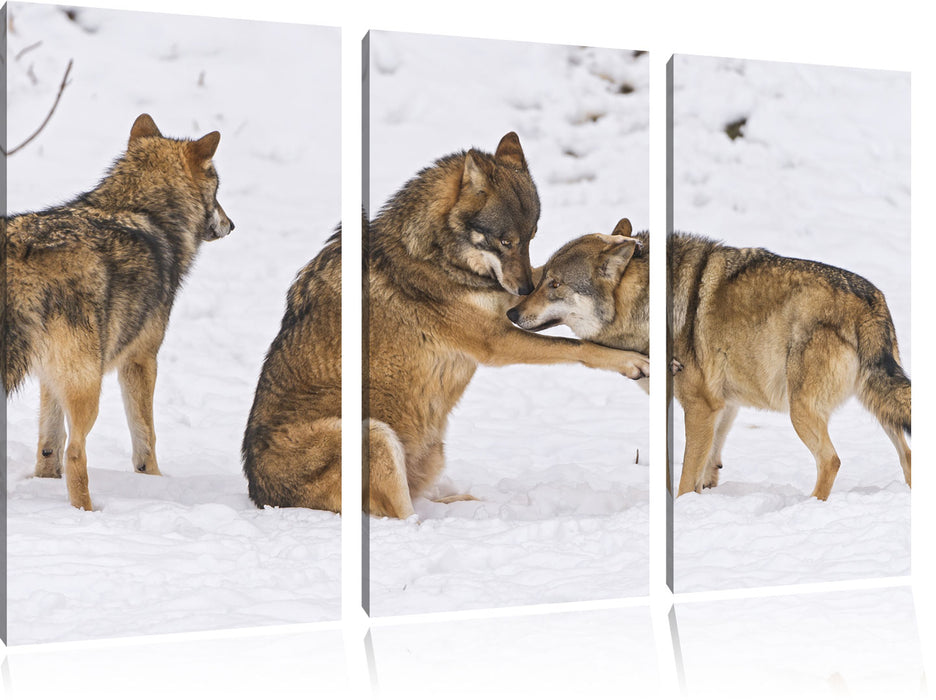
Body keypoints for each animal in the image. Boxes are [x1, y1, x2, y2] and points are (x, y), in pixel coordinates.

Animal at [1, 113, 234, 508]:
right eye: (217, 191)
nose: (232, 225)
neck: (139, 209)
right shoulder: (141, 359)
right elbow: (146, 437)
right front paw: (153, 482)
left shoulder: (49, 378)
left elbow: (48, 444)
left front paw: (44, 480)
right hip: (88, 385)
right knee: (76, 453)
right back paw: (88, 511)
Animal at [241, 133, 652, 520]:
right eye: (505, 241)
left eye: (531, 237)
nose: (522, 292)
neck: (437, 256)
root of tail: (262, 496)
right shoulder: (496, 340)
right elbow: (579, 348)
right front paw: (632, 362)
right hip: (374, 433)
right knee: (404, 519)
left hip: (428, 451)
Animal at [508, 221, 912, 500]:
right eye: (541, 278)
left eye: (555, 285)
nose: (511, 313)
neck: (646, 306)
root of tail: (871, 301)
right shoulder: (724, 406)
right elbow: (708, 468)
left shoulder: (700, 408)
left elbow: (686, 478)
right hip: (881, 407)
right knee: (907, 454)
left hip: (803, 411)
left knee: (831, 460)